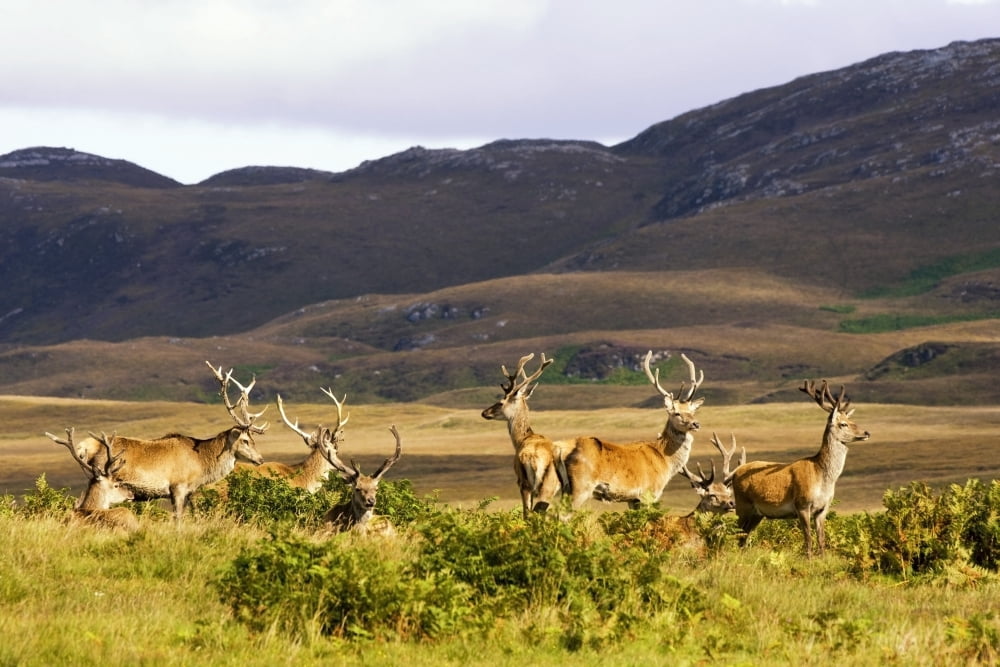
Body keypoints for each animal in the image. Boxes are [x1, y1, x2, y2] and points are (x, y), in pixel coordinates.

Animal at [46, 361, 268, 521]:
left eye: (253, 439)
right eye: (245, 440)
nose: (260, 459)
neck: (202, 465)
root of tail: (83, 447)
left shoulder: (189, 492)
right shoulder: (177, 487)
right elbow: (177, 519)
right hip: (98, 474)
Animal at [481, 353, 568, 518]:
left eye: (501, 402)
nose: (484, 412)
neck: (522, 439)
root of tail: (532, 458)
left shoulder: (520, 480)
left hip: (529, 484)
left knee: (530, 513)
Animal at [561, 351, 705, 511]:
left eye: (692, 412)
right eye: (677, 413)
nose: (696, 424)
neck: (665, 460)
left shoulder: (633, 500)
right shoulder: (649, 493)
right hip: (580, 487)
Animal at [731, 380, 871, 557]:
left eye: (851, 420)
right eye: (843, 424)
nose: (867, 432)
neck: (821, 476)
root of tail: (735, 473)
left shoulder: (823, 508)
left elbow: (821, 540)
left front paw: (822, 558)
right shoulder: (802, 504)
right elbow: (808, 539)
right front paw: (809, 559)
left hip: (757, 513)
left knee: (744, 536)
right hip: (742, 505)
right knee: (736, 533)